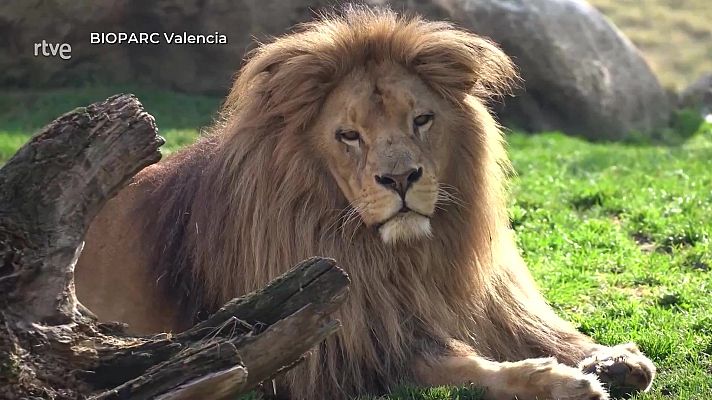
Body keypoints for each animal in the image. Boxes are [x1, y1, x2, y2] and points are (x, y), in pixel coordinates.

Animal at [75, 7, 656, 400]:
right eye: (349, 135)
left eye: (421, 119)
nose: (399, 178)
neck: (403, 257)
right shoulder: (339, 352)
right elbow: (462, 366)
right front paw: (561, 381)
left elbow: (544, 331)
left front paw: (612, 358)